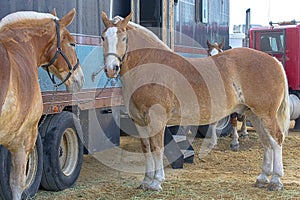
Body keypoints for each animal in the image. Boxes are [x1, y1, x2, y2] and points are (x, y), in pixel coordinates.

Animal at [101, 12, 290, 192]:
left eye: (123, 38)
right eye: (103, 37)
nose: (111, 69)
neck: (151, 66)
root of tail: (274, 61)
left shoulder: (156, 119)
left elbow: (157, 149)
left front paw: (156, 182)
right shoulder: (139, 121)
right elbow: (147, 149)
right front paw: (146, 181)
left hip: (266, 114)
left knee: (276, 140)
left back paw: (276, 181)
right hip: (254, 115)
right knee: (267, 143)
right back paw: (263, 178)